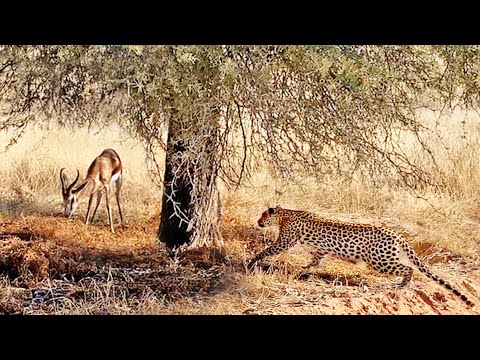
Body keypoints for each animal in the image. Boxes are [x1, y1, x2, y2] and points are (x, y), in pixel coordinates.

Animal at [249, 205, 474, 306]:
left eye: (262, 215)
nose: (258, 222)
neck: (285, 214)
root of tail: (397, 234)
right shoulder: (321, 249)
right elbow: (316, 259)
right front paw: (306, 268)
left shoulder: (283, 242)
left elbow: (267, 250)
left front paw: (252, 260)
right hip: (388, 257)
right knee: (410, 266)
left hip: (381, 261)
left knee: (409, 268)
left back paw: (402, 284)